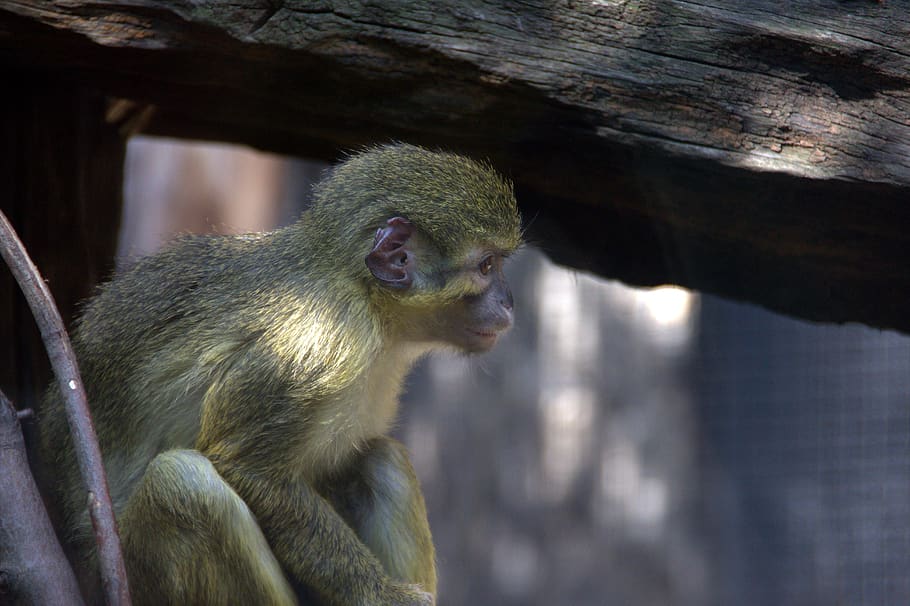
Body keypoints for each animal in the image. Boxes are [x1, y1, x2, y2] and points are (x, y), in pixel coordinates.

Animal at [38, 143, 522, 606]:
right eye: (486, 266)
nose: (509, 302)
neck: (367, 299)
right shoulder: (317, 343)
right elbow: (246, 468)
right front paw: (382, 597)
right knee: (183, 483)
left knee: (381, 459)